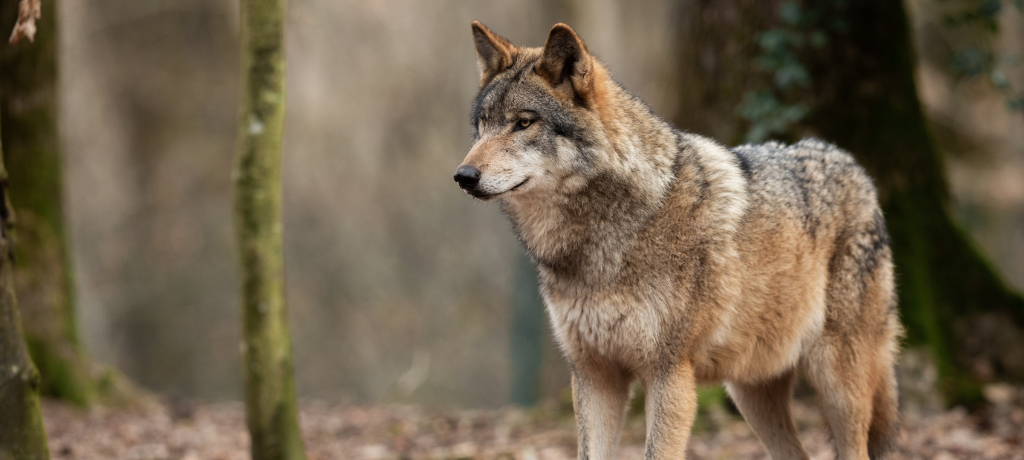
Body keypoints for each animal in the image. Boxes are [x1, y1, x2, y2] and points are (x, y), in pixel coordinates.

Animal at [454, 21, 902, 460]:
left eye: (523, 123)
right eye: (483, 124)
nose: (463, 176)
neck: (602, 241)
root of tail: (853, 165)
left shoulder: (669, 373)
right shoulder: (594, 375)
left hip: (837, 382)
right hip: (750, 393)